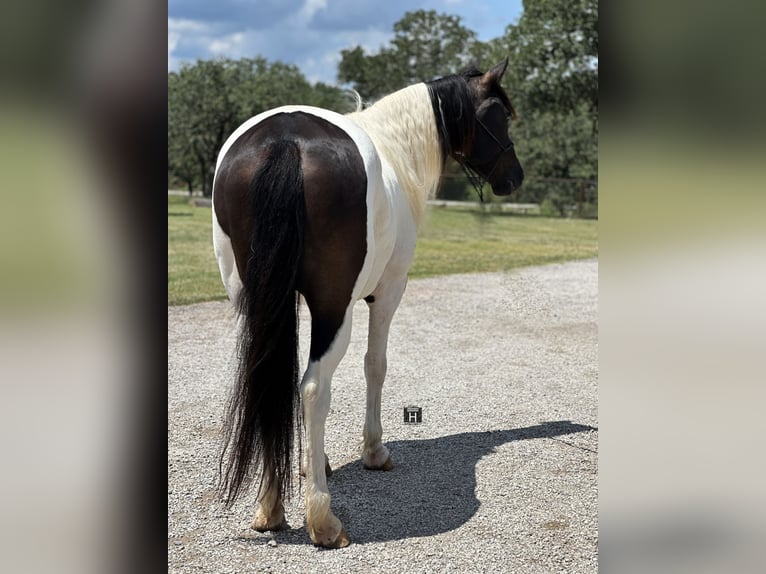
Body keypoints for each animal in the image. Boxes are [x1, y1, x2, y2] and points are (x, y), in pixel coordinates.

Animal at [208, 57, 520, 548]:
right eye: (501, 115)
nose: (516, 176)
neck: (395, 148)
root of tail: (285, 140)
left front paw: (311, 465)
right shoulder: (388, 292)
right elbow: (376, 365)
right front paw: (373, 451)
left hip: (254, 301)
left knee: (268, 379)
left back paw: (270, 506)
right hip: (335, 307)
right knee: (314, 388)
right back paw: (322, 519)